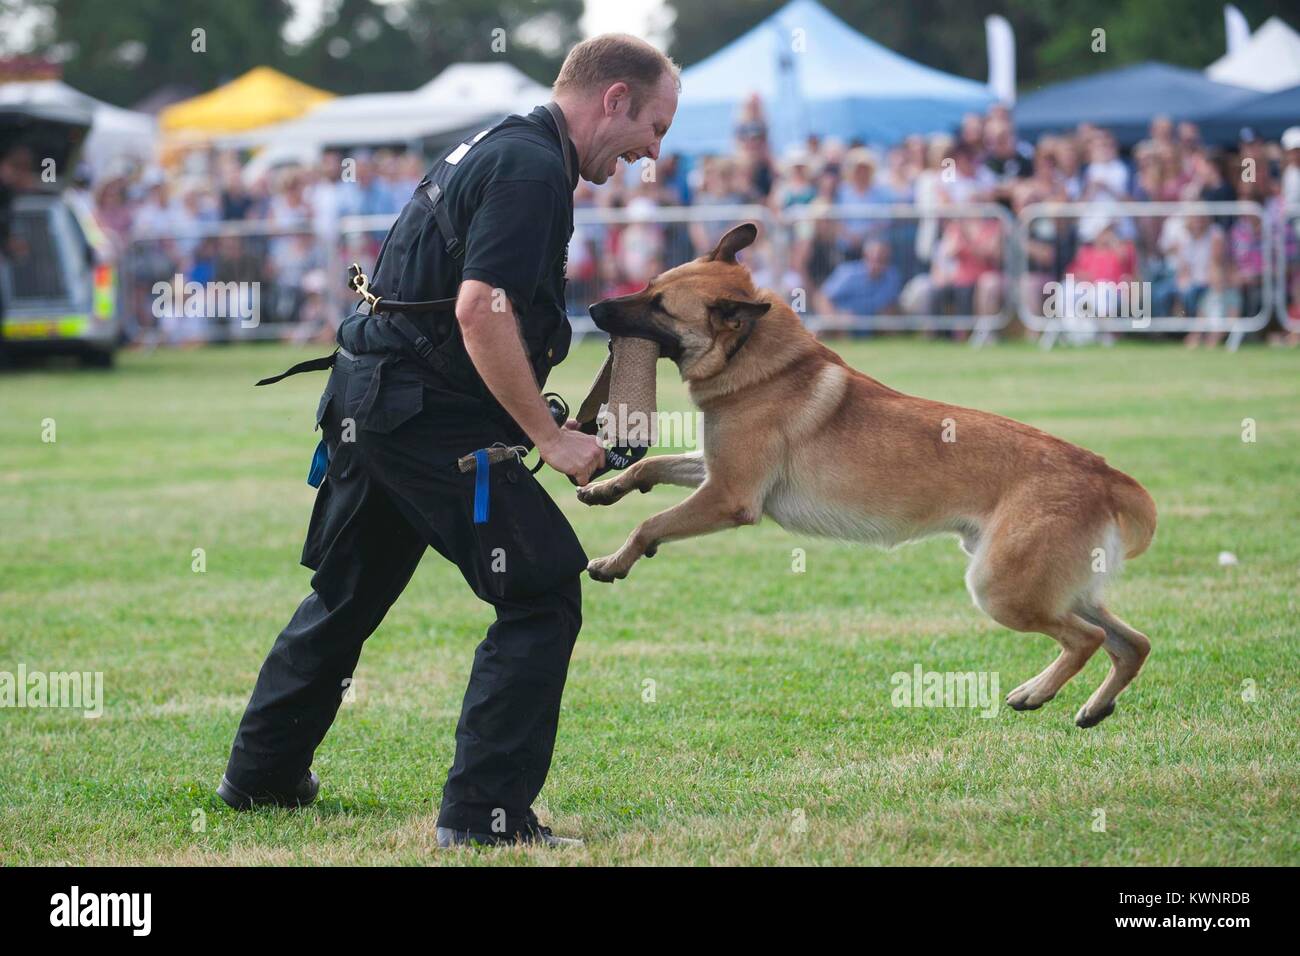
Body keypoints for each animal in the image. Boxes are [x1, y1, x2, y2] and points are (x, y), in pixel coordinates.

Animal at [579, 223, 1159, 728]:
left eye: (659, 305)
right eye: (648, 285)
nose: (591, 308)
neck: (755, 358)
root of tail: (1102, 473)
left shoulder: (729, 496)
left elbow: (650, 524)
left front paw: (614, 561)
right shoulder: (716, 471)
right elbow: (652, 466)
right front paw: (606, 488)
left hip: (1000, 587)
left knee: (1085, 639)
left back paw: (1035, 692)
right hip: (1054, 585)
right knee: (1132, 643)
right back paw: (1094, 706)